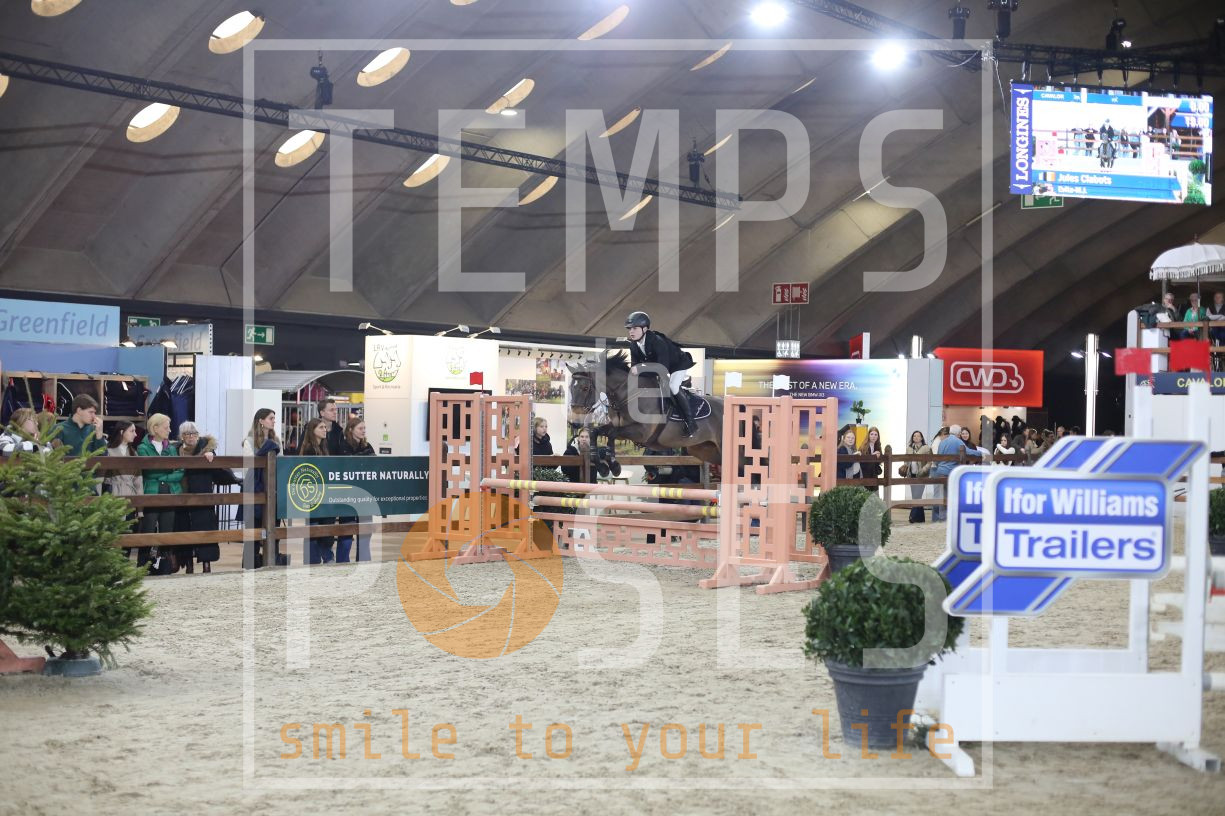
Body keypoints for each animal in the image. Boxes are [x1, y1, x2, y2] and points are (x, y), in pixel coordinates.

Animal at [566, 352, 724, 465]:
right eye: (570, 388)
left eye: (585, 388)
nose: (575, 422)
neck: (628, 395)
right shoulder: (619, 428)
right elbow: (597, 431)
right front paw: (598, 460)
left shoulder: (642, 433)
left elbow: (612, 433)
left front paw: (612, 464)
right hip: (705, 449)